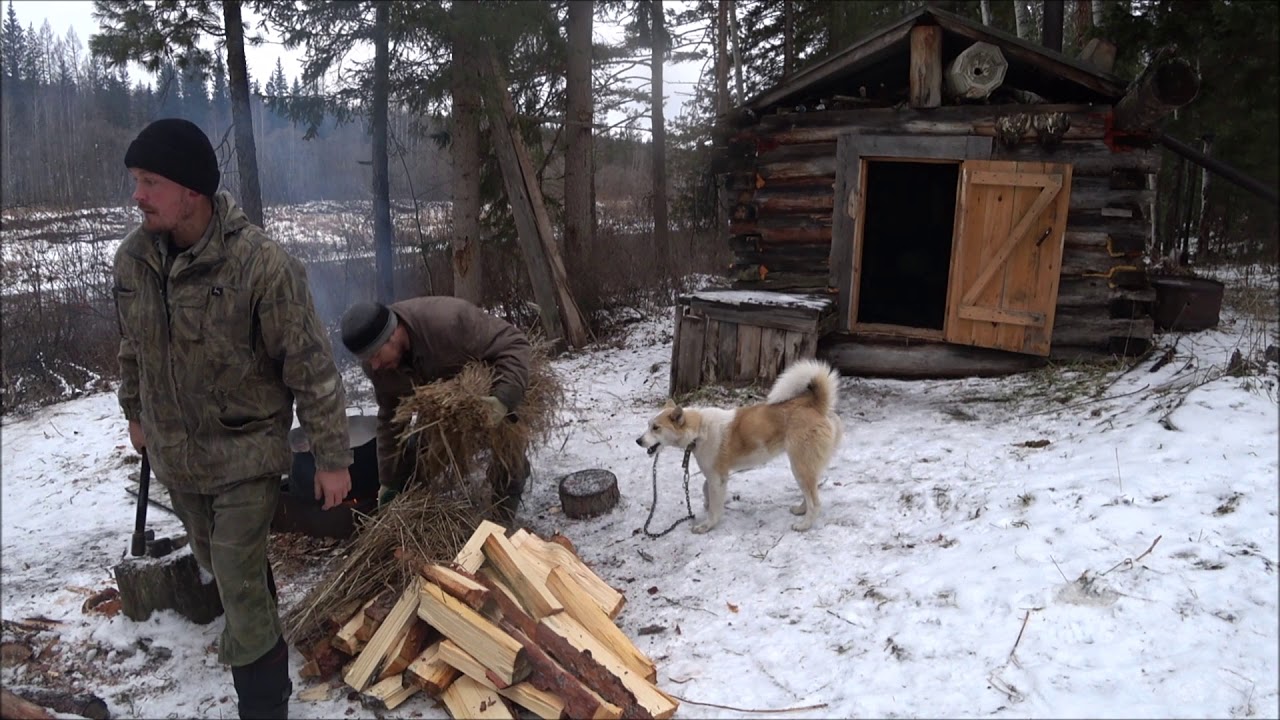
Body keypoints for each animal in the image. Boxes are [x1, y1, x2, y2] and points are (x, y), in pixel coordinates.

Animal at [637, 358, 839, 532]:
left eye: (656, 428)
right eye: (648, 425)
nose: (638, 441)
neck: (700, 429)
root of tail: (815, 404)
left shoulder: (716, 477)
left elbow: (713, 506)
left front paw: (707, 525)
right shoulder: (717, 475)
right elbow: (705, 489)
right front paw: (707, 504)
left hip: (800, 466)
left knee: (815, 502)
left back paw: (804, 525)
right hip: (806, 467)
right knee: (811, 493)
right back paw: (800, 510)